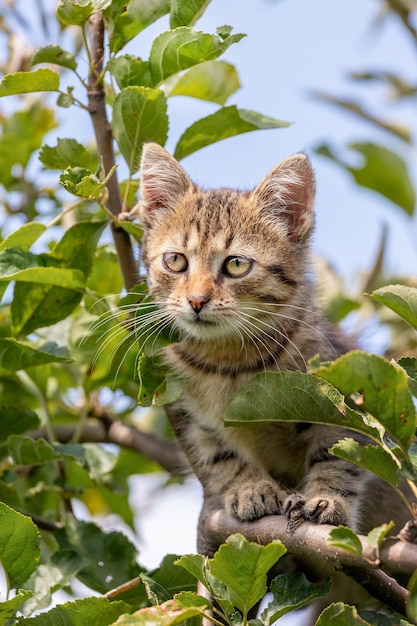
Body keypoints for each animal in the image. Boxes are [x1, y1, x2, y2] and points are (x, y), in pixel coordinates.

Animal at [139, 143, 410, 536]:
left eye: (236, 265)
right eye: (175, 261)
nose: (196, 300)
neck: (229, 360)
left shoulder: (340, 397)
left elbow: (339, 454)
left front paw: (327, 499)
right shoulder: (192, 419)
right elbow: (220, 455)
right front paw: (250, 487)